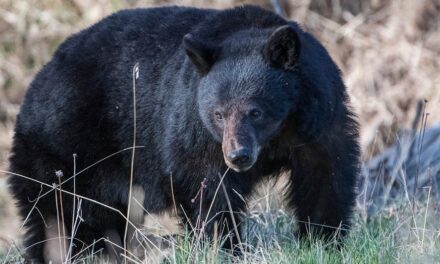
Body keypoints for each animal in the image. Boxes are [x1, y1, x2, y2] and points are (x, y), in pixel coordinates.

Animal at [7, 4, 358, 264]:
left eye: (255, 111)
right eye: (218, 114)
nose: (239, 156)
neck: (278, 134)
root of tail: (37, 83)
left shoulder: (319, 121)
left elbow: (325, 178)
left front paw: (324, 240)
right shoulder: (195, 130)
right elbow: (211, 192)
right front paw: (222, 246)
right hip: (64, 152)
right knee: (60, 214)